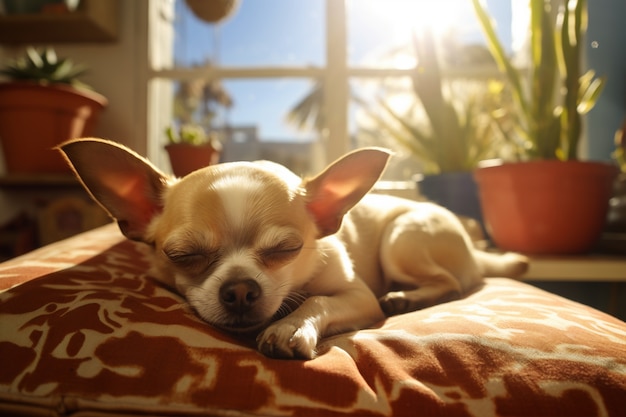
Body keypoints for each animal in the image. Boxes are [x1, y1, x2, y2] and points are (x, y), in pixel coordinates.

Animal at [59, 139, 528, 358]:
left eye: (286, 249)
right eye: (183, 256)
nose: (240, 290)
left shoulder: (357, 296)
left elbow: (316, 298)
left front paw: (289, 327)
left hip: (403, 238)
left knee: (452, 282)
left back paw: (405, 297)